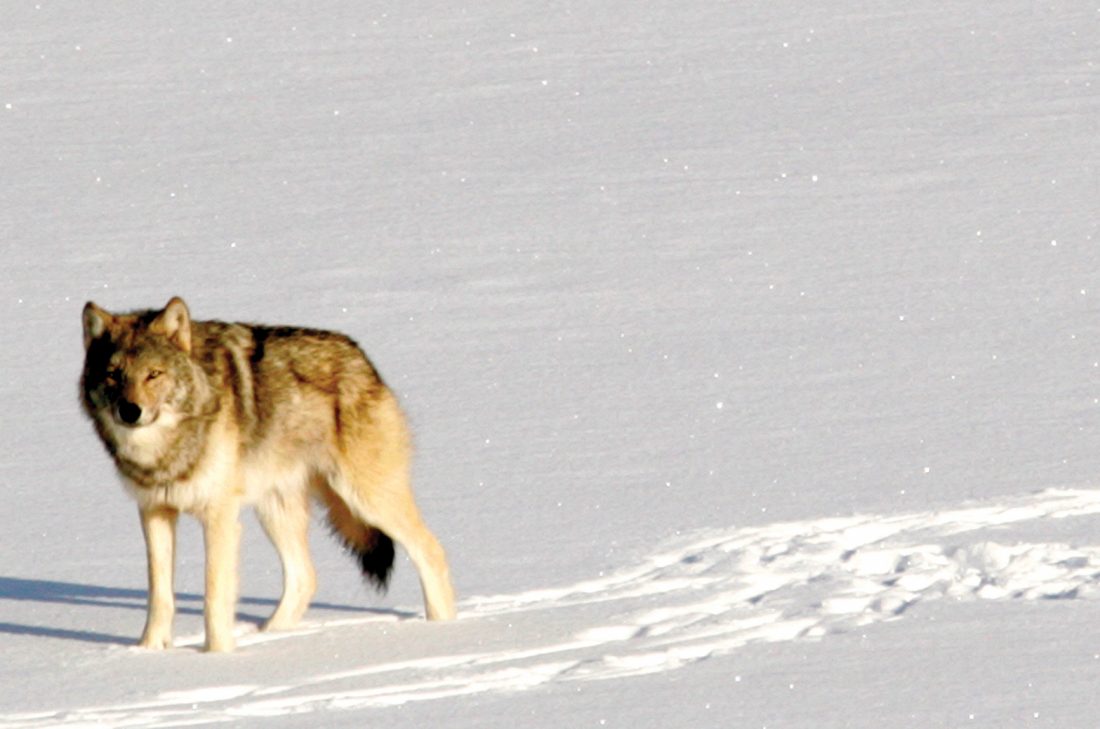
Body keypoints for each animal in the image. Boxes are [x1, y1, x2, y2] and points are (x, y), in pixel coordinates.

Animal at [80, 297, 456, 652]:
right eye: (113, 374)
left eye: (153, 374)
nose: (130, 411)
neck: (165, 450)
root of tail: (362, 358)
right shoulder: (154, 512)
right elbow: (159, 595)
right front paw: (149, 651)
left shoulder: (219, 516)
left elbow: (214, 594)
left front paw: (216, 655)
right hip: (275, 510)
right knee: (305, 577)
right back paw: (270, 635)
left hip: (367, 499)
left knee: (432, 550)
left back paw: (443, 627)